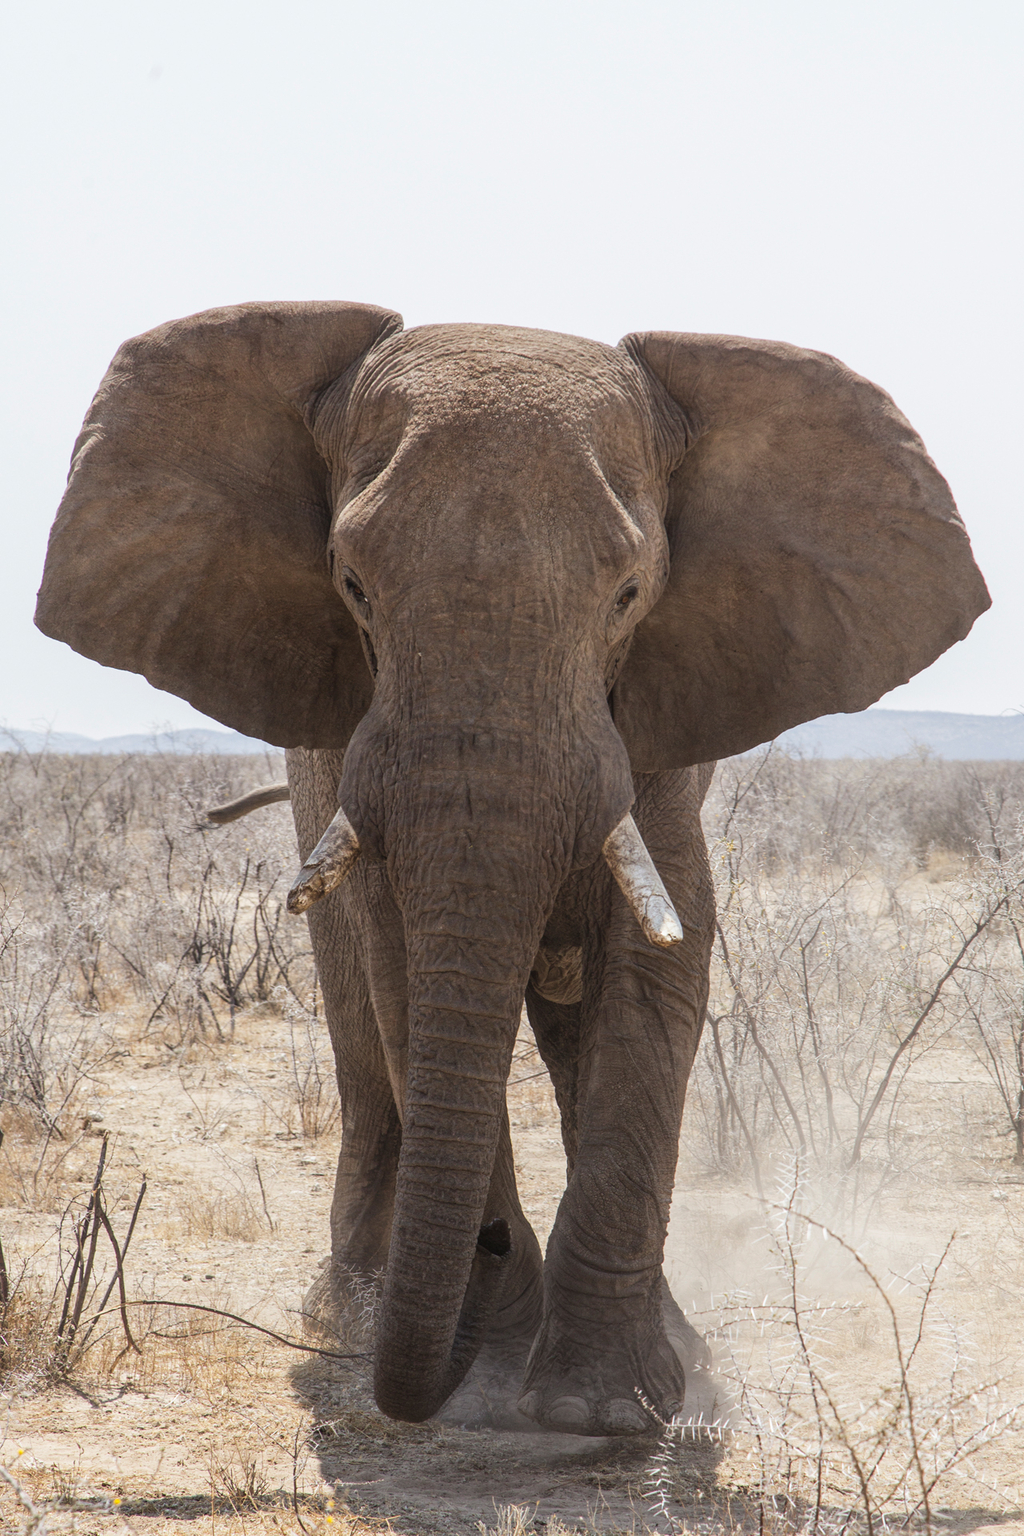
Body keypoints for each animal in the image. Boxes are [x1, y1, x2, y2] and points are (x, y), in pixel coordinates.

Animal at [35, 301, 989, 1435]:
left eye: (629, 595)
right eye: (352, 587)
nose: (488, 1256)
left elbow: (659, 968)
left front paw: (601, 1409)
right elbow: (404, 970)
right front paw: (497, 1369)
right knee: (358, 1020)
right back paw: (351, 1306)